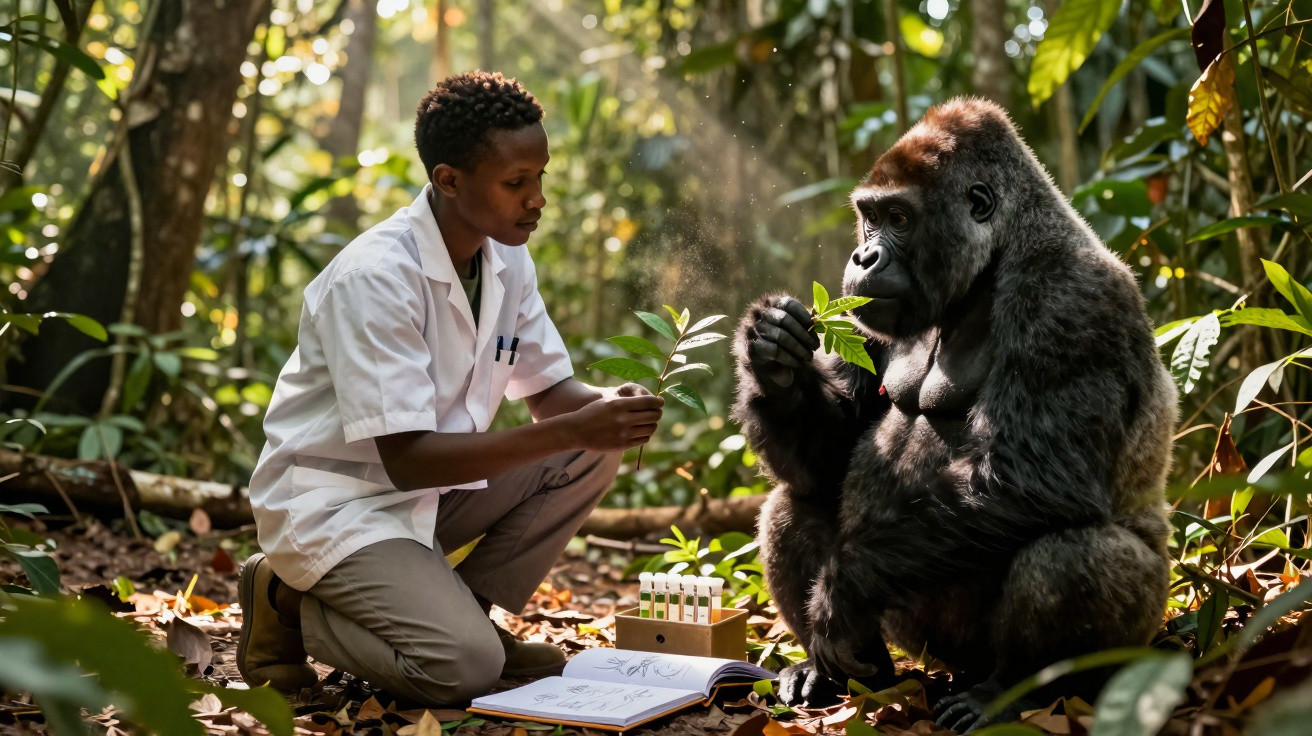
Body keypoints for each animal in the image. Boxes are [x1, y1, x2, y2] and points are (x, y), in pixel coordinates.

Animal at [732, 98, 1177, 732]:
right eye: (869, 217)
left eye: (898, 217)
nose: (862, 255)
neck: (999, 252)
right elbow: (828, 461)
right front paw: (773, 359)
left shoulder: (1071, 298)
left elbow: (1032, 480)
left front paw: (841, 591)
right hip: (913, 640)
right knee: (791, 506)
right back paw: (840, 673)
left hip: (1132, 632)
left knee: (1069, 557)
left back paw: (1009, 693)